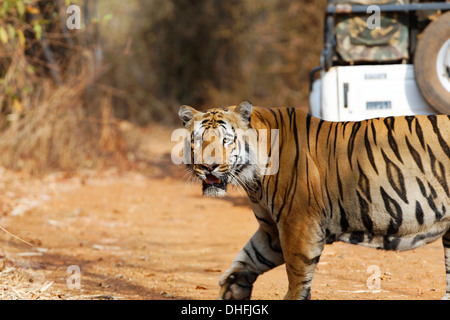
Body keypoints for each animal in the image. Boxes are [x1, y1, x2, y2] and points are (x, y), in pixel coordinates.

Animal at [178, 100, 450, 300]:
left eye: (226, 140)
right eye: (198, 140)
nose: (208, 166)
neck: (253, 180)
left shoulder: (297, 223)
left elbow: (297, 274)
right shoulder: (271, 230)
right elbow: (249, 257)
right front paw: (233, 289)